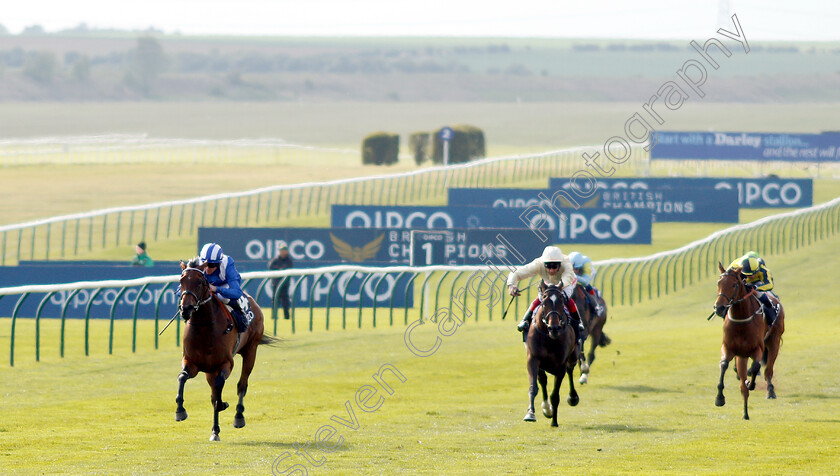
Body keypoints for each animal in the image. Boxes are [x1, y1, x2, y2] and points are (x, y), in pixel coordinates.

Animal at [174, 258, 278, 440]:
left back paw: (238, 417)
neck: (205, 329)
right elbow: (182, 377)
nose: (186, 309)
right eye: (181, 281)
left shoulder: (225, 364)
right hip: (209, 370)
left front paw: (221, 412)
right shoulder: (191, 362)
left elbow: (218, 390)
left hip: (251, 350)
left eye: (201, 282)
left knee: (242, 385)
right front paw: (180, 411)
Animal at [520, 282, 580, 428]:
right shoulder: (533, 359)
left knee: (570, 370)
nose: (554, 328)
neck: (549, 338)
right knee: (543, 380)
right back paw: (546, 409)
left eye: (561, 302)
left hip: (573, 356)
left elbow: (555, 395)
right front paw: (530, 413)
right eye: (544, 302)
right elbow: (534, 387)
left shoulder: (560, 366)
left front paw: (554, 421)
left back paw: (572, 397)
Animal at [712, 260, 784, 420]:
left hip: (774, 342)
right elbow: (724, 365)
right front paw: (719, 398)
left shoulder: (758, 348)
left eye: (734, 284)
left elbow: (756, 366)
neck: (741, 320)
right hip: (743, 355)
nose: (719, 308)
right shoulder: (728, 347)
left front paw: (751, 382)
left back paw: (770, 391)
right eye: (719, 282)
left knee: (768, 369)